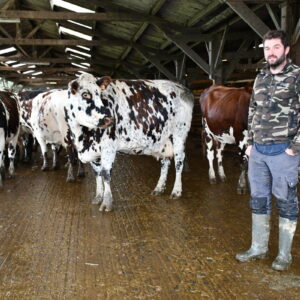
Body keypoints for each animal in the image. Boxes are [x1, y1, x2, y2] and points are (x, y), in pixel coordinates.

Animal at [65, 72, 195, 211]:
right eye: (85, 94)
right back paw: (159, 188)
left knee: (179, 162)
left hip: (179, 135)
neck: (82, 137)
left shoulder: (108, 147)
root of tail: (181, 87)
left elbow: (105, 173)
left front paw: (107, 202)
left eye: (100, 94)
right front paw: (98, 197)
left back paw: (176, 191)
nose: (108, 119)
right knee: (165, 162)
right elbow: (97, 174)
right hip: (163, 141)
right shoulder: (94, 152)